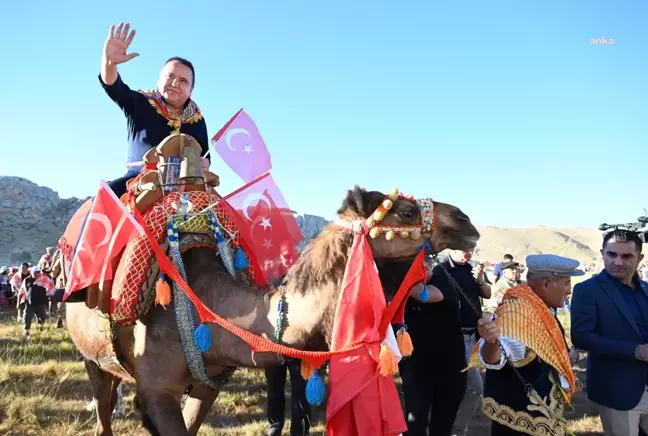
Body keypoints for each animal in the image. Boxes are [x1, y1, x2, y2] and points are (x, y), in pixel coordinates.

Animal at [66, 186, 480, 434]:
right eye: (407, 211)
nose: (466, 220)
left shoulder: (208, 383)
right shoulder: (156, 388)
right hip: (91, 356)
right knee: (103, 406)